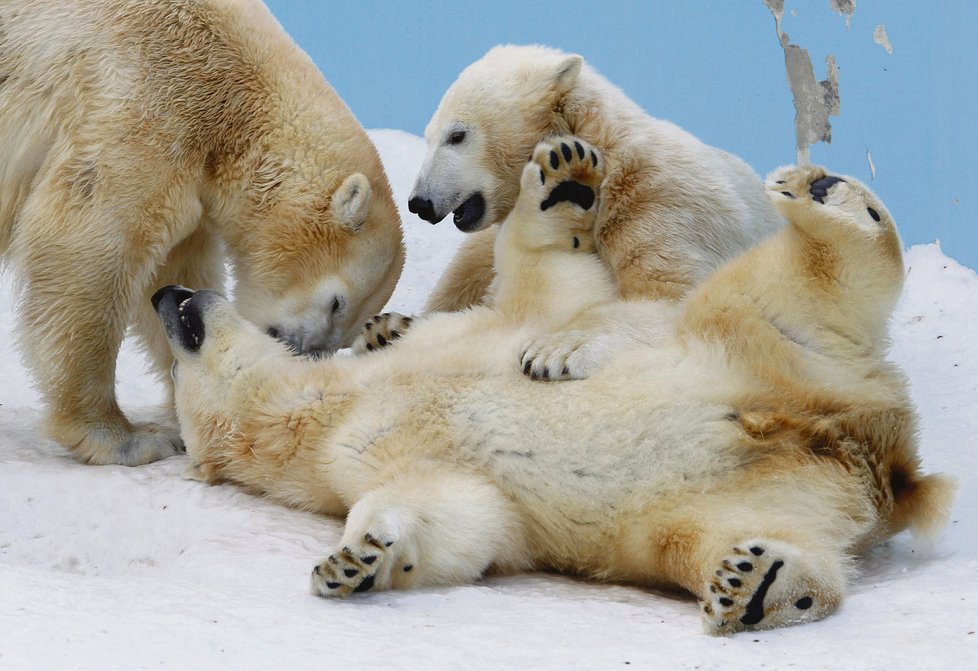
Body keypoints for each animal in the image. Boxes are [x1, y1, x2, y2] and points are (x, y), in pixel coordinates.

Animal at [0, 1, 402, 468]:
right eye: (337, 303)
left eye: (350, 328)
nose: (303, 355)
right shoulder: (147, 103)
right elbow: (85, 246)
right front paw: (129, 437)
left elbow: (171, 269)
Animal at [156, 136, 948, 636]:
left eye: (179, 327)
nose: (167, 294)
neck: (328, 403)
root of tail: (872, 453)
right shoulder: (363, 457)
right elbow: (459, 515)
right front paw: (357, 560)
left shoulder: (462, 338)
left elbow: (548, 293)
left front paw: (564, 178)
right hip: (737, 490)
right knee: (722, 541)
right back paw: (756, 584)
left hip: (751, 343)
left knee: (789, 281)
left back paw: (823, 195)